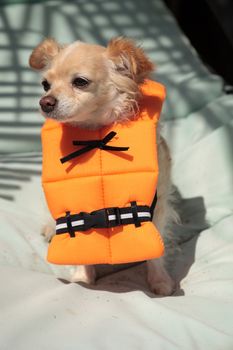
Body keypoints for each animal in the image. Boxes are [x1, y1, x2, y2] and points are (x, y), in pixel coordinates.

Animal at [30, 37, 177, 296]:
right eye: (45, 85)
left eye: (80, 82)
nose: (45, 102)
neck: (95, 131)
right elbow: (79, 236)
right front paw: (82, 277)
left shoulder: (156, 204)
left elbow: (156, 245)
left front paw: (159, 280)